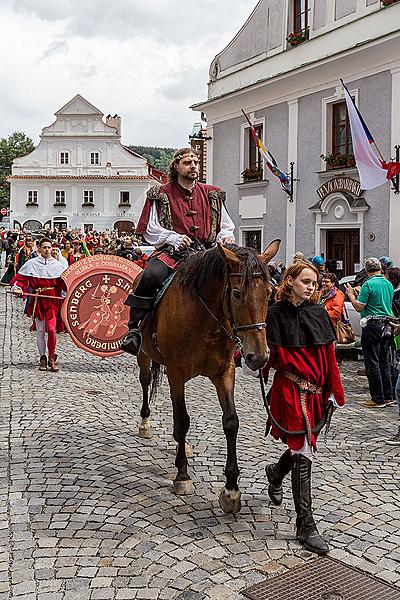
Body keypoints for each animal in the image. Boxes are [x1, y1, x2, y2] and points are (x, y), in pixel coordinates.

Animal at [136, 241, 280, 512]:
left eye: (269, 292)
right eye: (237, 293)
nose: (259, 357)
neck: (205, 318)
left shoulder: (224, 372)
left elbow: (231, 422)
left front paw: (231, 489)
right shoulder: (176, 372)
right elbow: (183, 420)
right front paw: (182, 475)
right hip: (143, 354)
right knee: (145, 381)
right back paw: (145, 423)